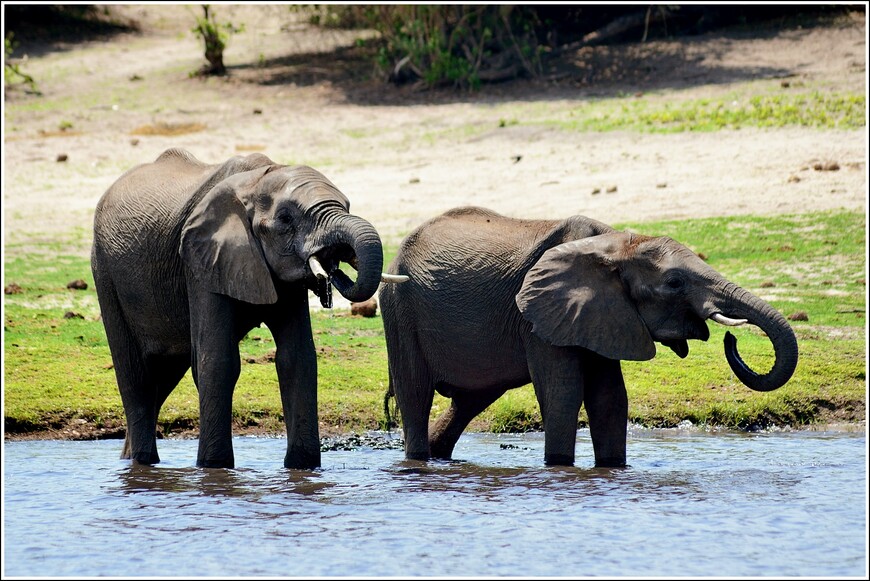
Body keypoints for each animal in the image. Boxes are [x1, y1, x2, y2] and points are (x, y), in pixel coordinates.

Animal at [378, 206, 800, 464]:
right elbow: (563, 394)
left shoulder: (603, 314)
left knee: (471, 399)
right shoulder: (537, 315)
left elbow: (610, 397)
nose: (732, 340)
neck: (614, 245)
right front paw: (558, 466)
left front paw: (612, 468)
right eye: (674, 282)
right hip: (399, 307)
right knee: (416, 394)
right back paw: (418, 459)